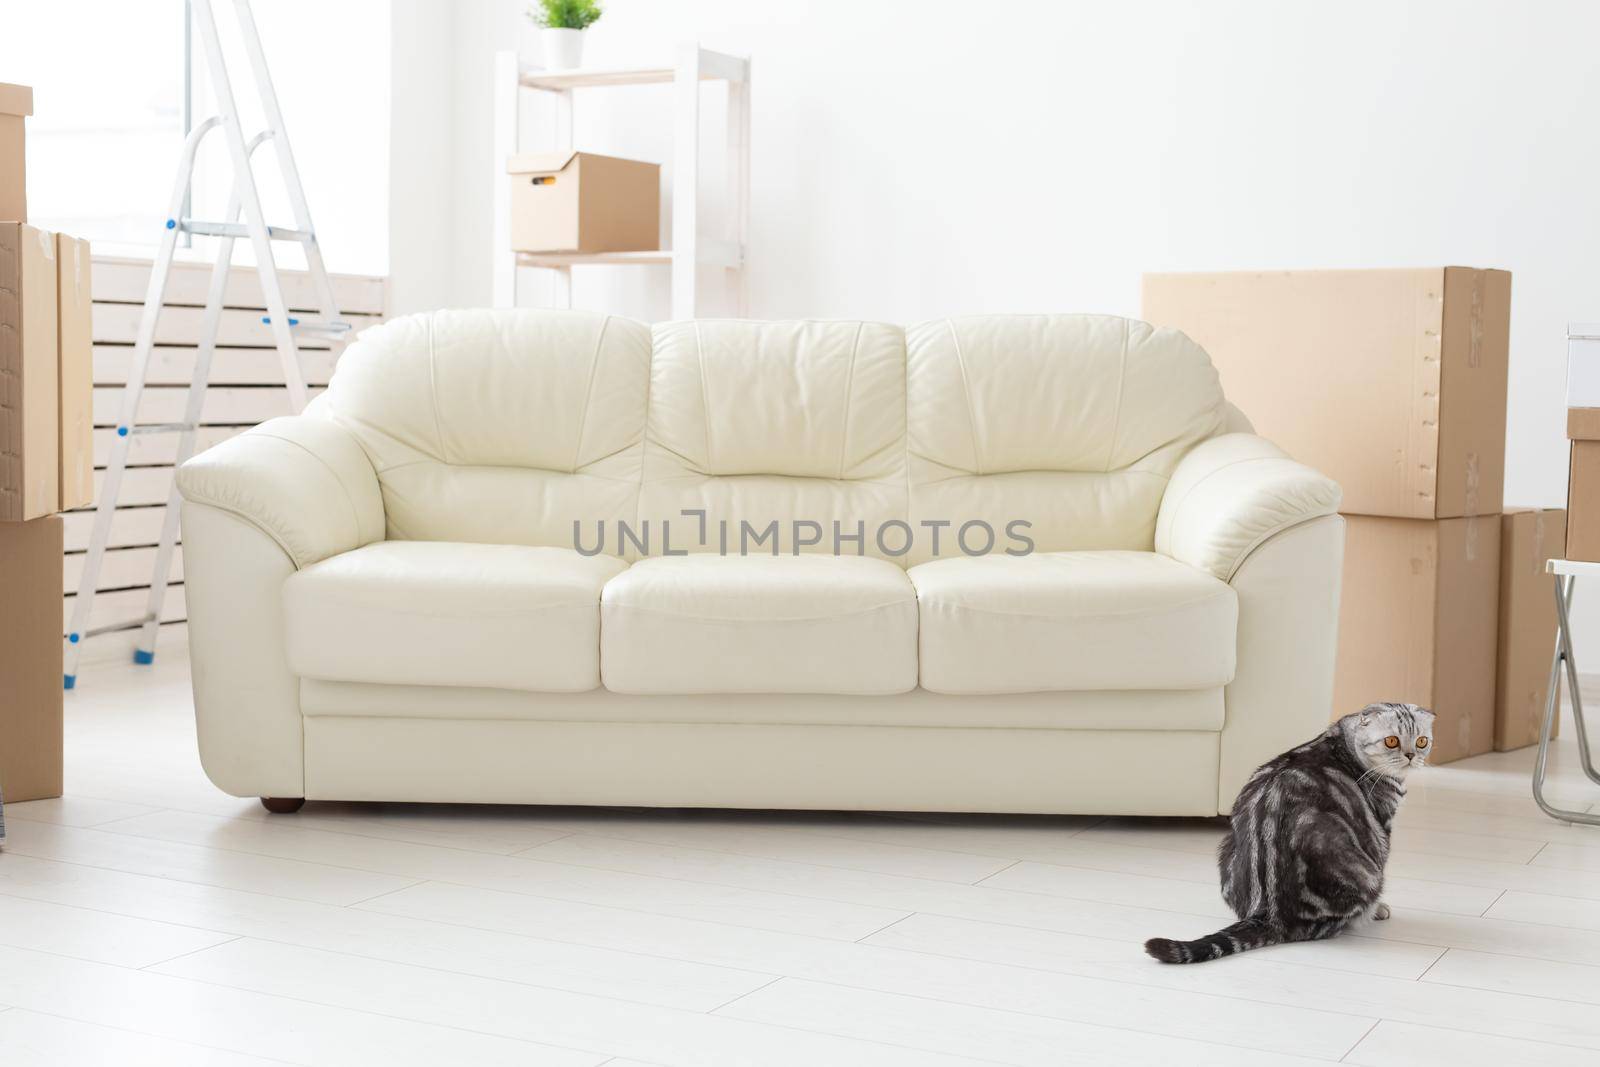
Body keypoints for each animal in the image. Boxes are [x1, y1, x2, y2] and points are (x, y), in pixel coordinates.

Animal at [1145, 703, 1433, 966]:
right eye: (1392, 741)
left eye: (1422, 741)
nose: (1410, 755)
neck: (1344, 742)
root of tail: (1271, 914)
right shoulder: (1381, 829)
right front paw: (1380, 909)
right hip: (1362, 870)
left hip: (1225, 846)